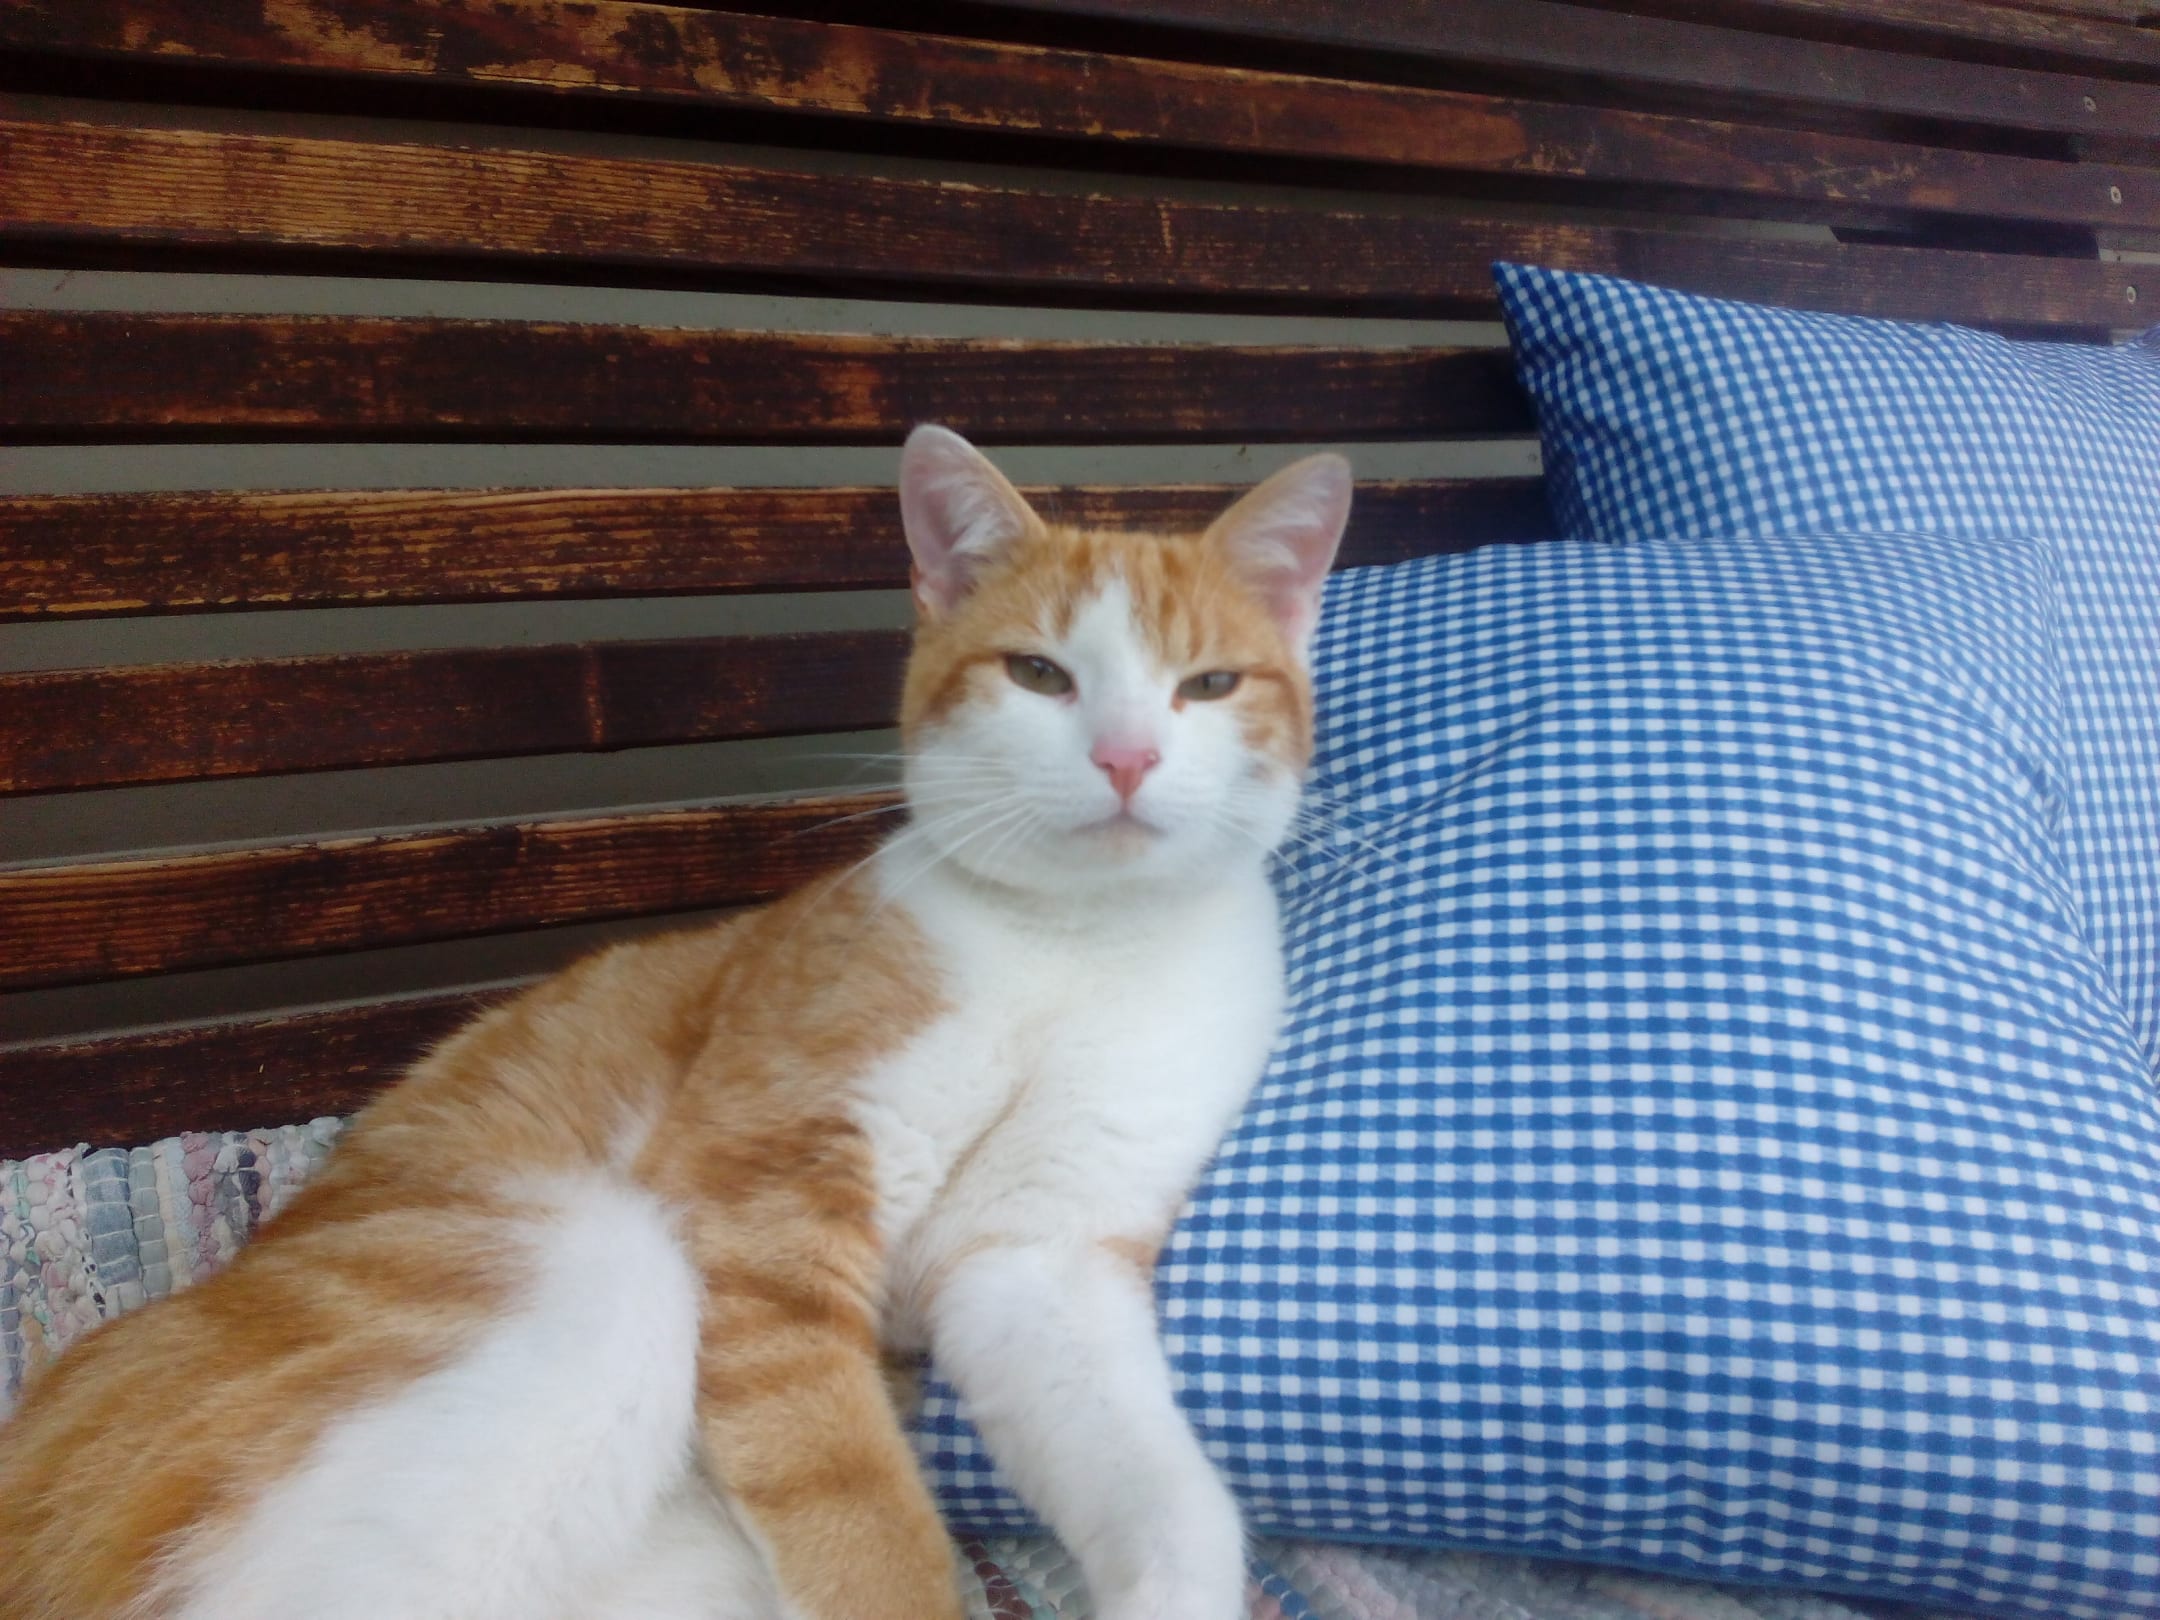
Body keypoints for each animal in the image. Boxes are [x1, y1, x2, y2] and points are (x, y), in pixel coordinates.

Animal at [0, 425, 1352, 1620]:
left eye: (1209, 685)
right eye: (1039, 674)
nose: (1126, 758)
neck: (1079, 947)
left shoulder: (1039, 1260)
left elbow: (1169, 1494)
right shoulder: (762, 1190)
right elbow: (855, 1499)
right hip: (599, 1271)